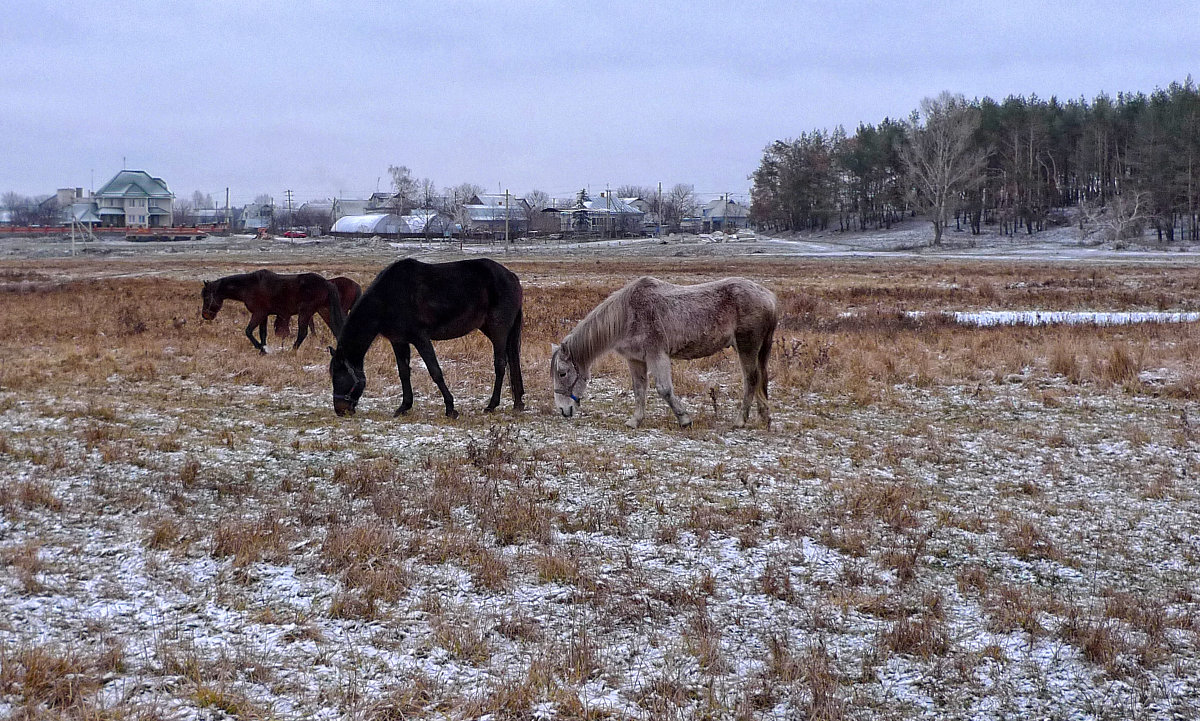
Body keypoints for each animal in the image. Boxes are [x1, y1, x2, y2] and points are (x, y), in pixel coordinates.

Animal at [201, 268, 348, 352]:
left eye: (207, 297)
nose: (205, 315)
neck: (249, 286)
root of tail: (327, 283)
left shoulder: (258, 313)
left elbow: (248, 331)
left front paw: (261, 348)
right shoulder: (263, 315)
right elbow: (262, 333)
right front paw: (263, 349)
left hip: (306, 312)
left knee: (303, 333)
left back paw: (292, 351)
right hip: (324, 311)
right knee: (336, 330)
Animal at [326, 256, 523, 415]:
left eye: (339, 376)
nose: (340, 410)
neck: (388, 298)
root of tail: (511, 276)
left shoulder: (421, 338)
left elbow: (435, 371)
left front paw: (450, 408)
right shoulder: (399, 341)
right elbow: (404, 372)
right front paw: (404, 406)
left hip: (498, 328)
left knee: (501, 364)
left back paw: (492, 405)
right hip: (492, 329)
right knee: (513, 360)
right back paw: (518, 402)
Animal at [552, 275, 777, 427]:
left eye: (562, 373)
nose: (563, 410)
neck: (628, 315)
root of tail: (769, 297)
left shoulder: (656, 355)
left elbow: (664, 389)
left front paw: (684, 419)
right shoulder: (635, 360)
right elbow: (639, 389)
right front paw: (635, 420)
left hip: (747, 347)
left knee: (751, 380)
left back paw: (740, 420)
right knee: (761, 378)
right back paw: (764, 417)